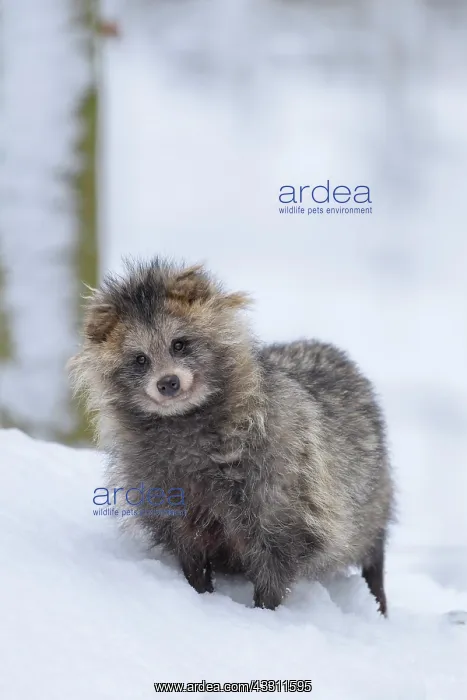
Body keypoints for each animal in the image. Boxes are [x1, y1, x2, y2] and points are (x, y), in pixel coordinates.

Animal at [69, 258, 394, 614]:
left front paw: (265, 611)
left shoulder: (282, 483)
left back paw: (377, 597)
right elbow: (189, 548)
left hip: (370, 493)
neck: (185, 422)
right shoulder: (163, 487)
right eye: (140, 359)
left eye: (179, 343)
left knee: (372, 549)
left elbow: (278, 555)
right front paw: (200, 592)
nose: (168, 383)